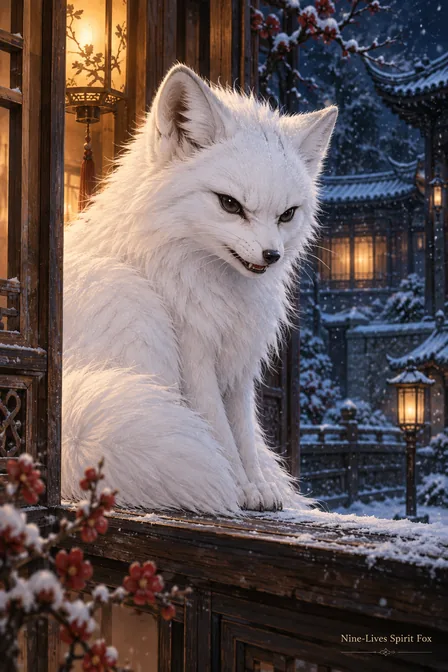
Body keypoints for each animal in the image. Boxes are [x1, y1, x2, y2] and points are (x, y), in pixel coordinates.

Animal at [62, 64, 337, 514]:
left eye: (287, 214)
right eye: (229, 204)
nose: (271, 255)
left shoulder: (240, 367)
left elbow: (244, 435)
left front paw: (260, 488)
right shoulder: (194, 356)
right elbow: (219, 432)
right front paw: (240, 489)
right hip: (135, 310)